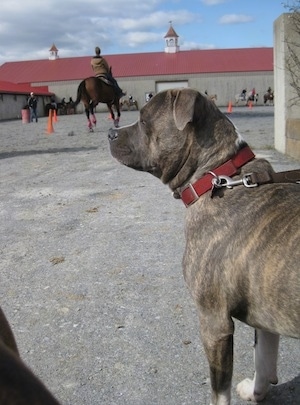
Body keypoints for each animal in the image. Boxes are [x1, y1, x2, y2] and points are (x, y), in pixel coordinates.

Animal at [108, 89, 300, 404]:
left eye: (144, 120)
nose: (110, 132)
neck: (218, 176)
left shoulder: (214, 324)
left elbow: (219, 392)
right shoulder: (267, 314)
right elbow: (264, 356)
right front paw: (255, 391)